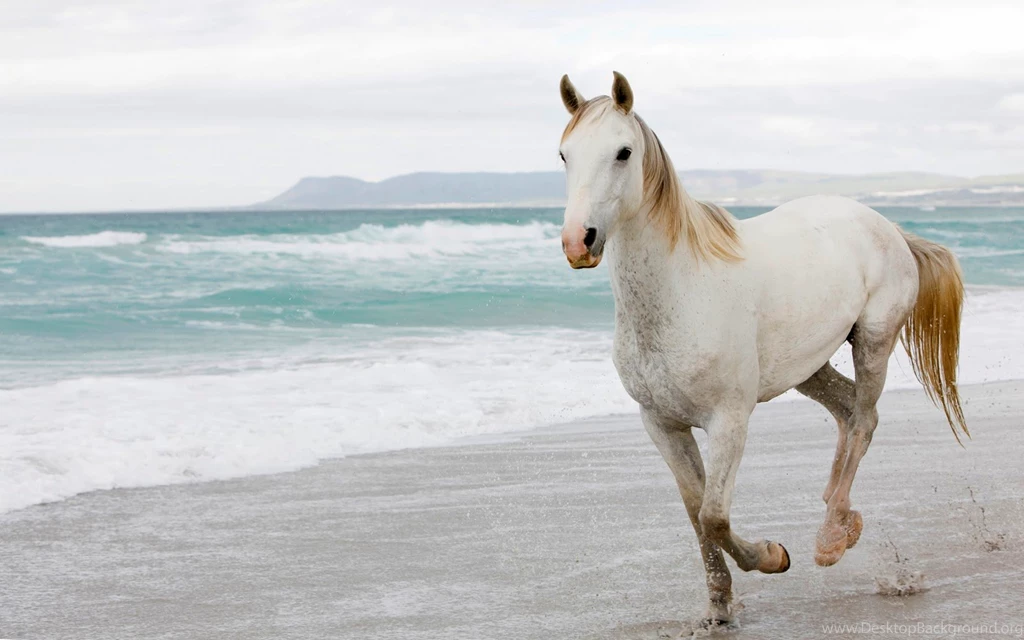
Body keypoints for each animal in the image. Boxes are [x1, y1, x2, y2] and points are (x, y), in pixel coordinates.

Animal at [556, 71, 967, 630]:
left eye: (623, 152)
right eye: (564, 154)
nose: (579, 241)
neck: (681, 290)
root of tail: (887, 226)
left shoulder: (729, 420)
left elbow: (713, 515)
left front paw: (774, 557)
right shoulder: (661, 423)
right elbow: (696, 513)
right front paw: (718, 607)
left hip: (874, 342)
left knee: (864, 420)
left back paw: (830, 538)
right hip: (809, 366)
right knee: (847, 410)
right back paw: (842, 519)